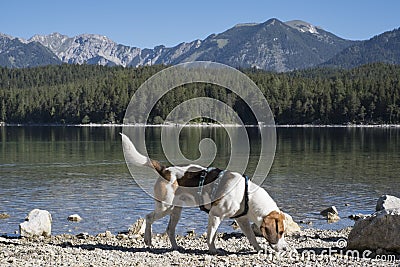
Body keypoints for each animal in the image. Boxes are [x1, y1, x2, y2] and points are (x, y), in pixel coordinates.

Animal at [120, 134, 286, 255]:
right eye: (280, 232)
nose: (285, 249)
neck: (246, 195)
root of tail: (165, 170)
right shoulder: (215, 215)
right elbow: (211, 236)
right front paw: (213, 250)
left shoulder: (242, 220)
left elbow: (251, 237)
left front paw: (259, 249)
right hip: (164, 207)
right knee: (148, 218)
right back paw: (148, 239)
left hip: (176, 210)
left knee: (170, 230)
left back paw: (175, 247)